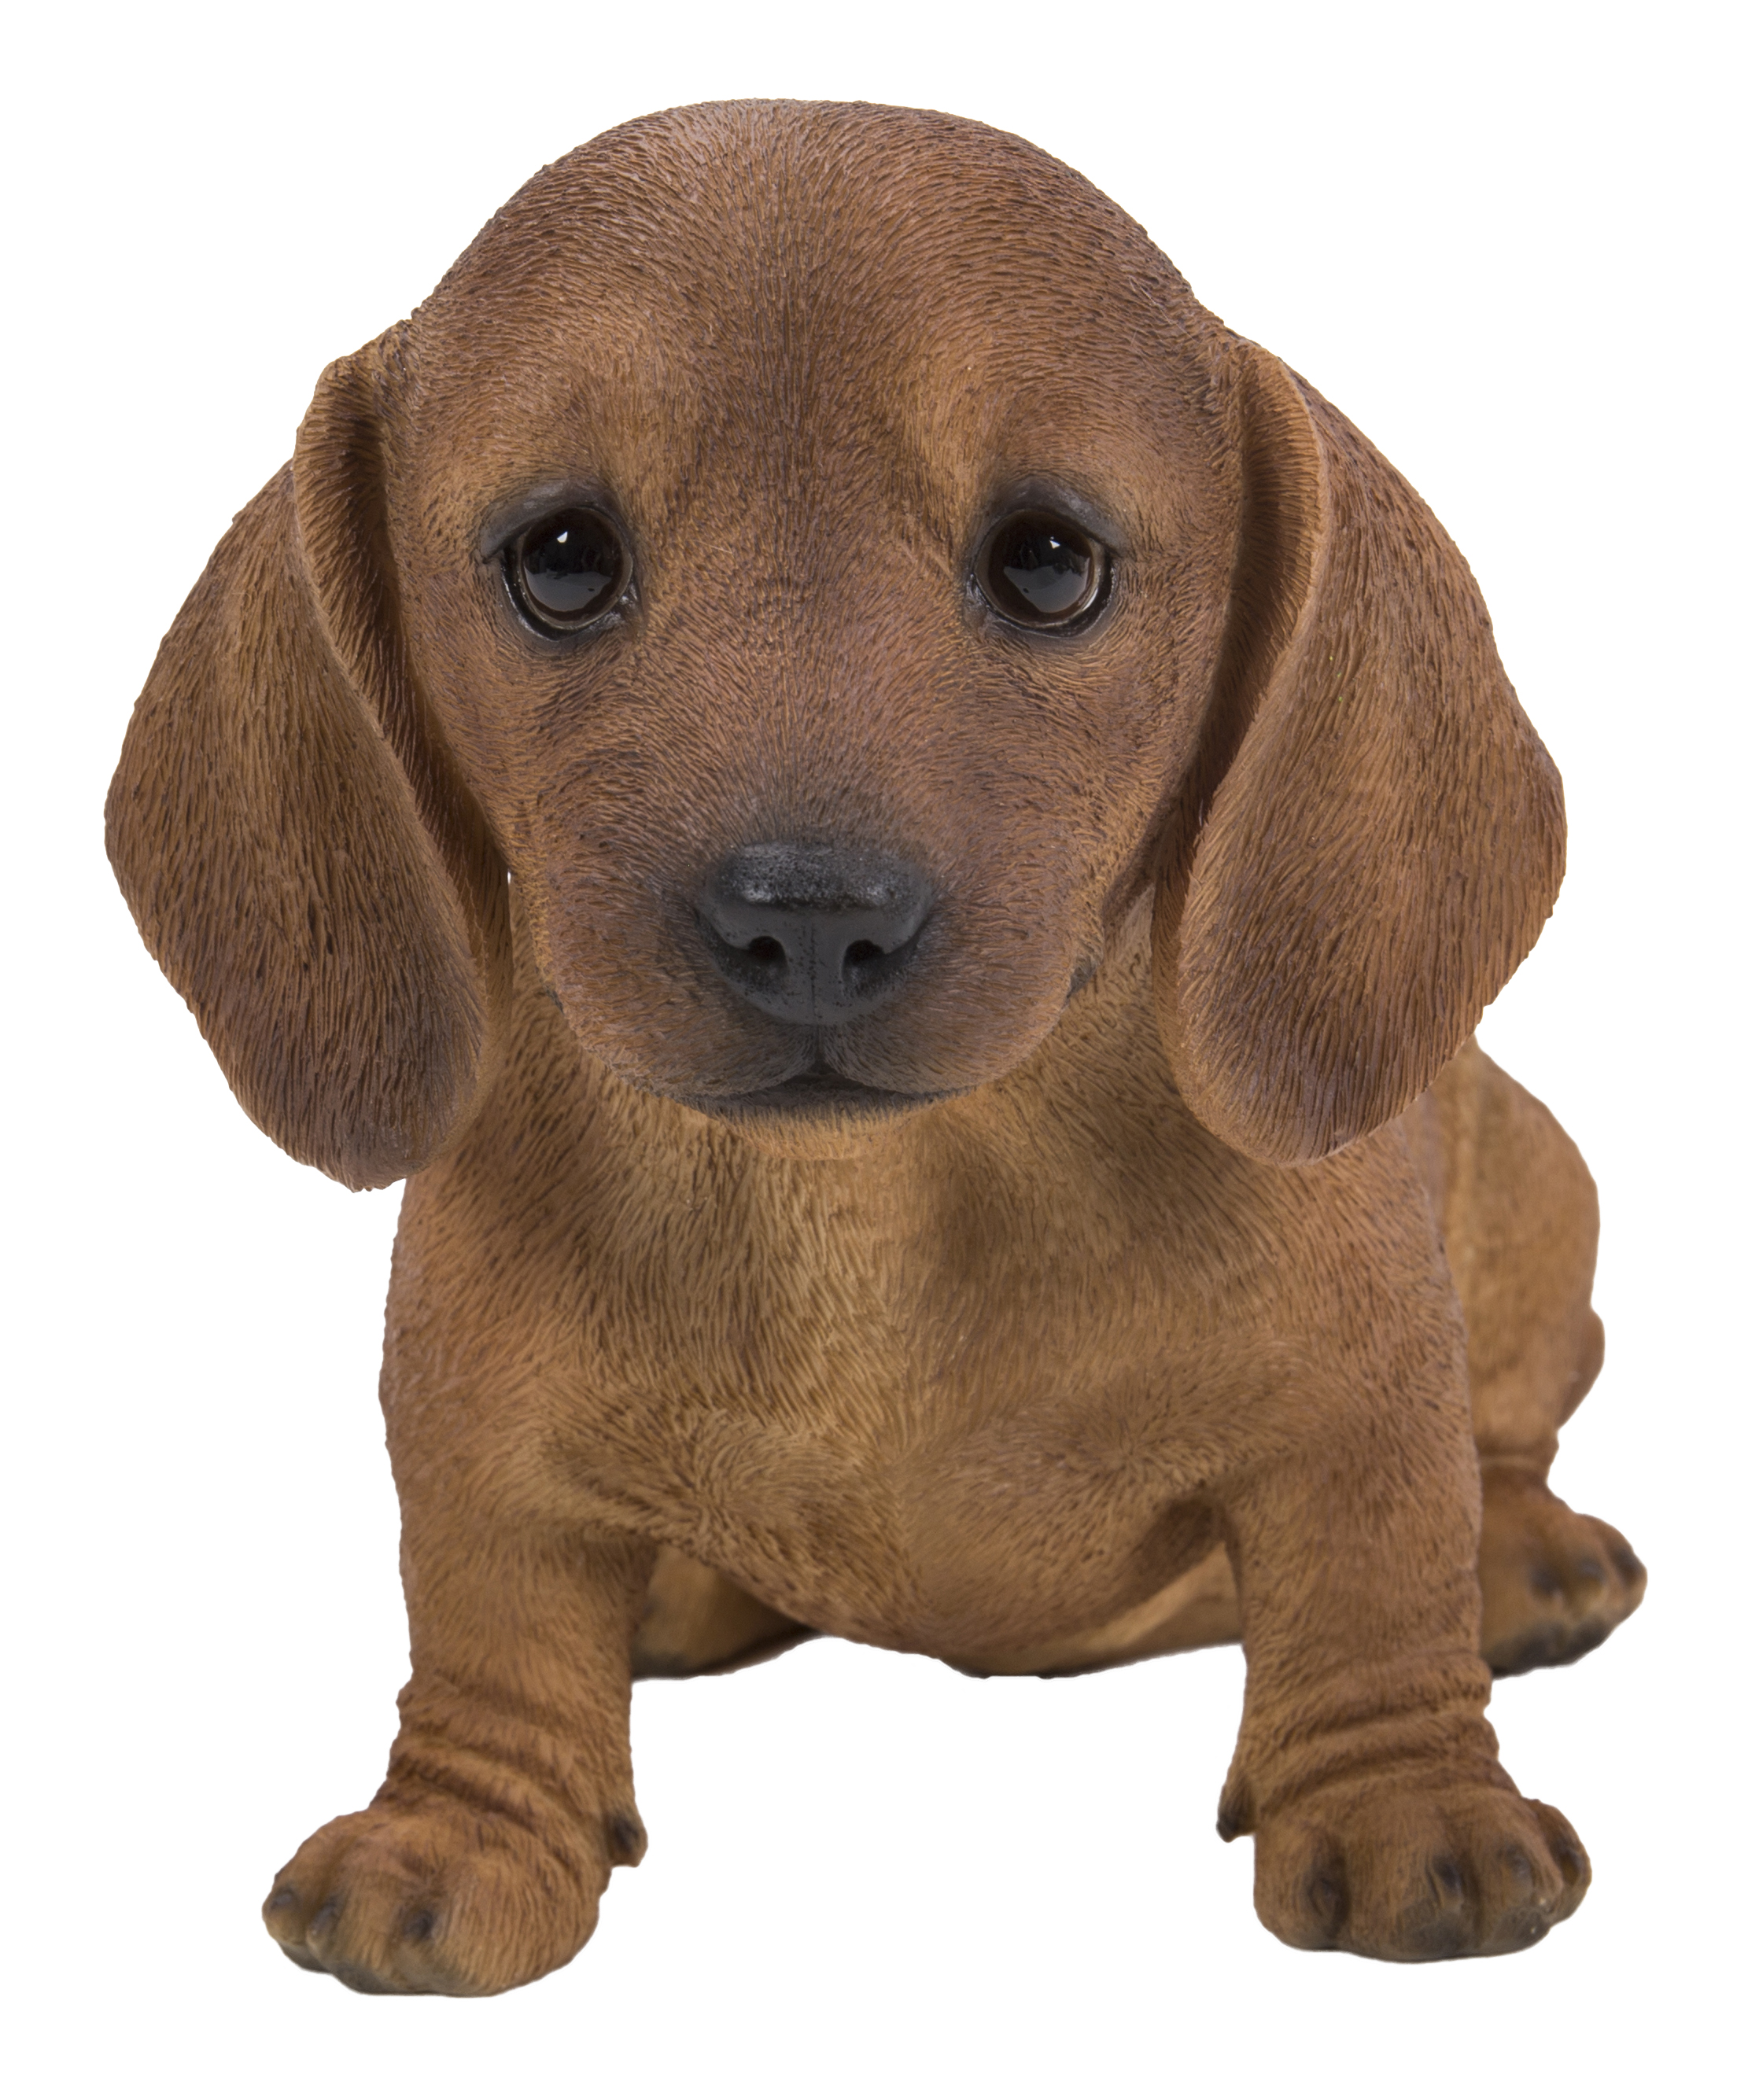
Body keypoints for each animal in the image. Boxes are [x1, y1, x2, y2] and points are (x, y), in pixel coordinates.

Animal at [105, 102, 1639, 1999]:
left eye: (1050, 561)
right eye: (559, 557)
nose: (812, 919)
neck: (879, 1204)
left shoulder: (1358, 1402)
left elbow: (1374, 1586)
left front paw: (1407, 1808)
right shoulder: (475, 1429)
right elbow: (489, 1629)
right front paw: (459, 1836)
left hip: (1541, 1200)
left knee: (1510, 1434)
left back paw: (1528, 1556)